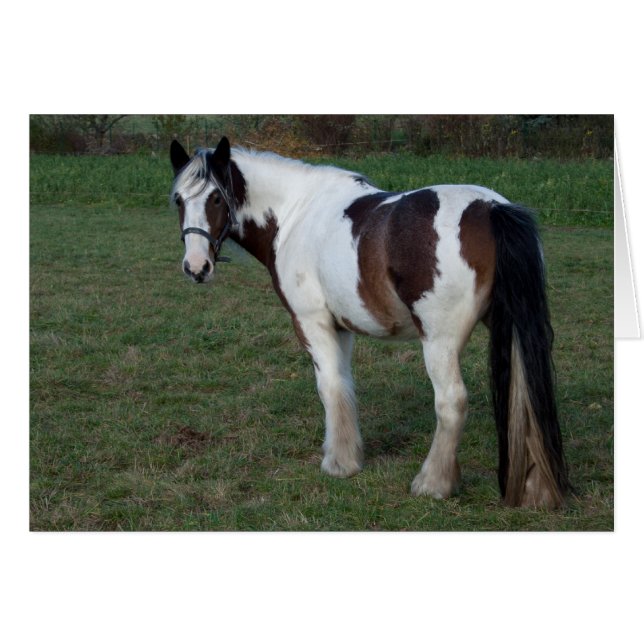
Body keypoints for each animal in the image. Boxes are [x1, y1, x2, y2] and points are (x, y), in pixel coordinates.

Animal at [168, 136, 570, 508]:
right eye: (178, 200)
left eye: (216, 198)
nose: (196, 267)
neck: (296, 212)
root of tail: (492, 209)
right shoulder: (341, 326)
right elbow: (344, 385)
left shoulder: (312, 323)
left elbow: (329, 386)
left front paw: (339, 463)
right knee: (525, 399)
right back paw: (536, 490)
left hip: (439, 341)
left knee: (451, 402)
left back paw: (433, 483)